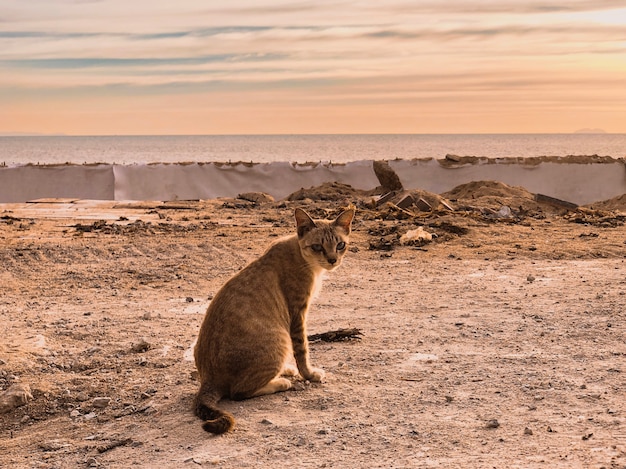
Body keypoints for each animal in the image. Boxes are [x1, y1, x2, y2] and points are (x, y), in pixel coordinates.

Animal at [193, 207, 354, 434]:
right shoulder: (298, 313)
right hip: (280, 339)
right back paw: (281, 382)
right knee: (237, 392)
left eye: (340, 245)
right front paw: (310, 374)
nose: (332, 260)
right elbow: (303, 350)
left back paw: (284, 370)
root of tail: (207, 379)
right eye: (317, 247)